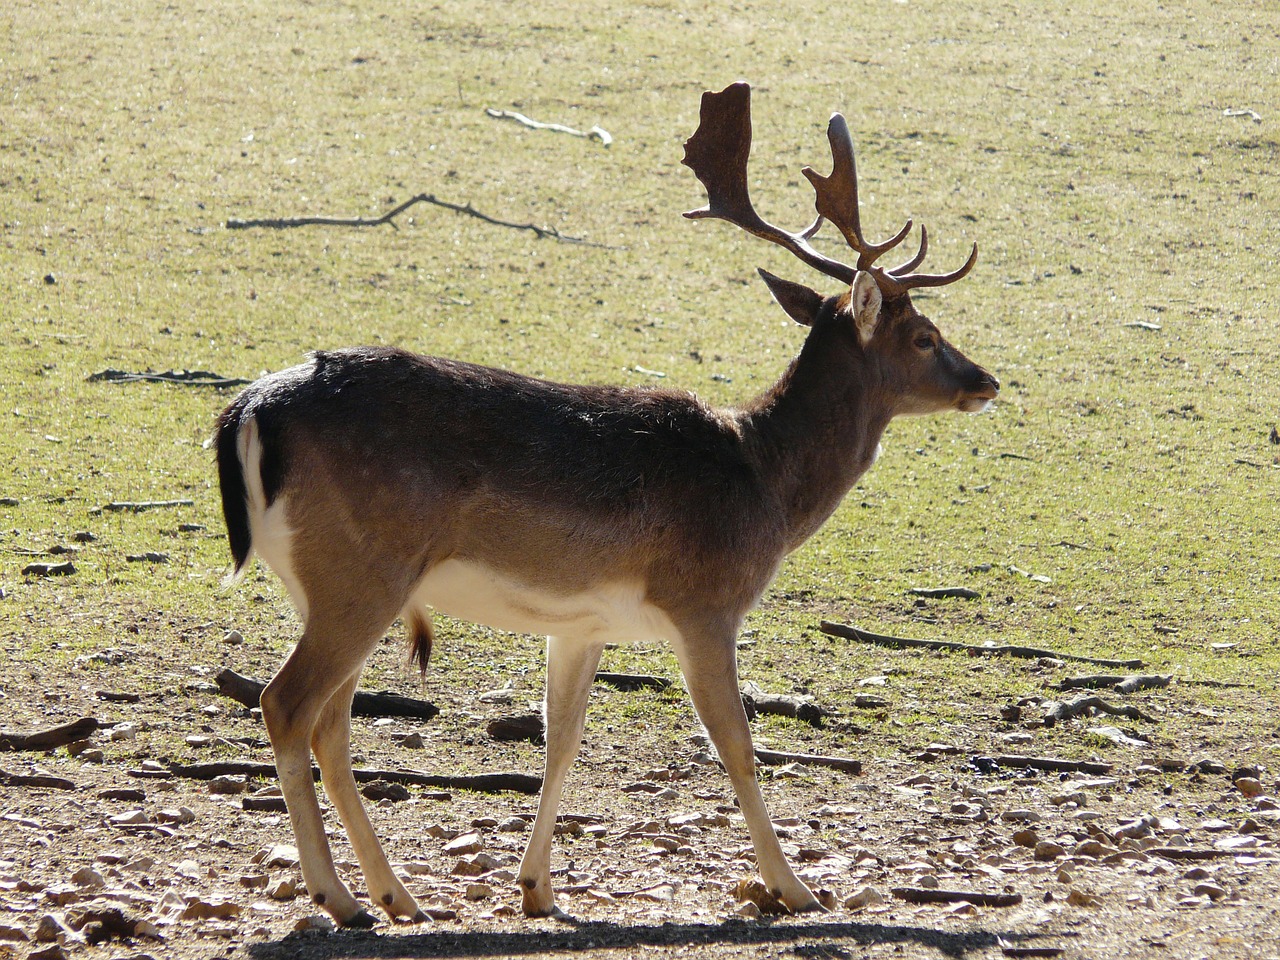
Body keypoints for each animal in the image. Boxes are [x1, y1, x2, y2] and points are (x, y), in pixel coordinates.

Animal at [212, 84, 998, 931]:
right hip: (362, 572)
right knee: (286, 702)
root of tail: (250, 410)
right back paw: (340, 897)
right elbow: (736, 744)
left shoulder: (581, 624)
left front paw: (537, 888)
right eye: (925, 336)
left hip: (329, 583)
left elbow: (562, 739)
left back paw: (396, 895)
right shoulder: (704, 602)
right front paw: (794, 887)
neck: (763, 478)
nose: (986, 381)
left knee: (330, 722)